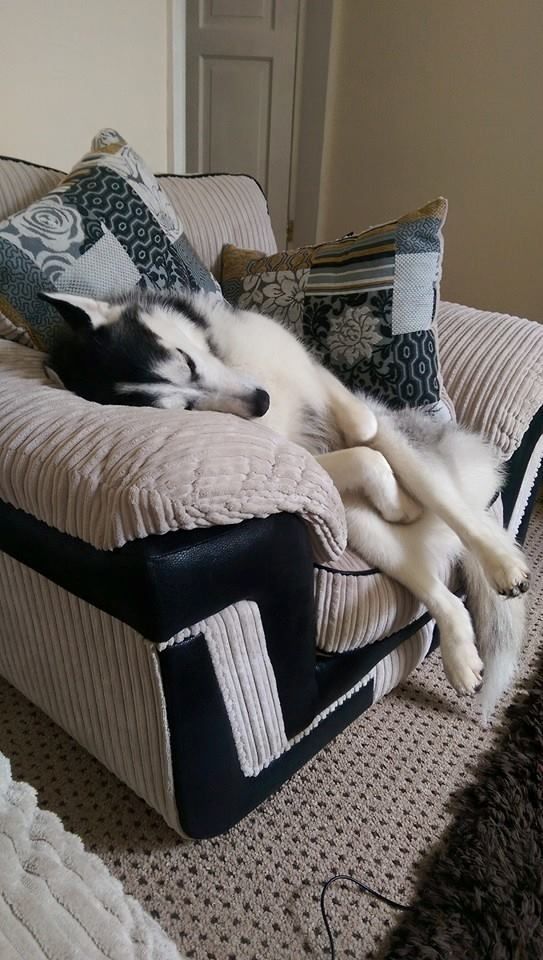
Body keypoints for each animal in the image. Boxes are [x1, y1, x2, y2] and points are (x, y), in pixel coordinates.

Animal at [43, 286, 532, 712]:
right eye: (185, 409)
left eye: (187, 359)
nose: (260, 401)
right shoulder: (302, 457)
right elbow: (364, 460)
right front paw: (398, 503)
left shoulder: (315, 375)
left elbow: (364, 429)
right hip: (358, 523)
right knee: (441, 592)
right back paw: (459, 652)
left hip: (425, 470)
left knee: (455, 508)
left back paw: (494, 555)